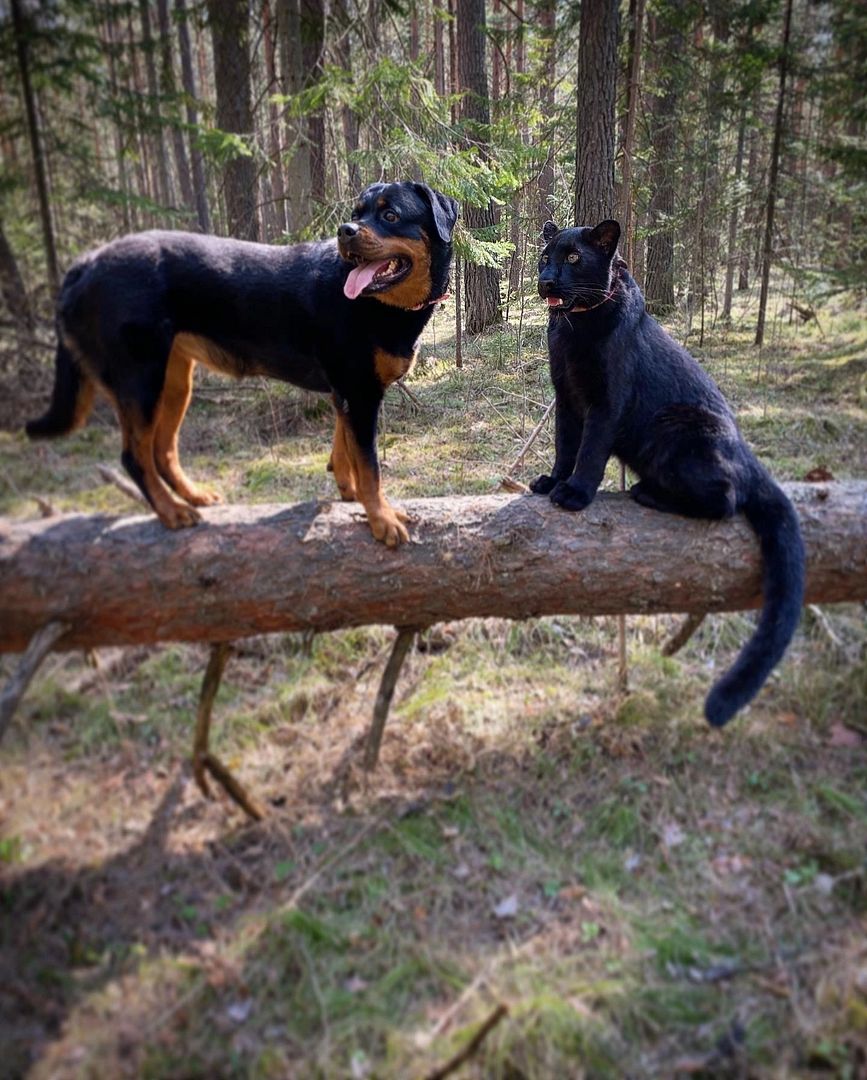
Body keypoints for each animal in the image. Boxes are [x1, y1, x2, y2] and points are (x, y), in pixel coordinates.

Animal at [25, 182, 462, 548]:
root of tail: (85, 264)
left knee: (163, 450)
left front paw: (348, 493)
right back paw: (172, 512)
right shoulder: (359, 393)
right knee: (135, 457)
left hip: (173, 380)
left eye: (390, 215)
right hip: (140, 378)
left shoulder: (346, 394)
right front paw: (381, 519)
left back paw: (194, 496)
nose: (345, 231)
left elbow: (345, 450)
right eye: (358, 212)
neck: (381, 307)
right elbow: (370, 466)